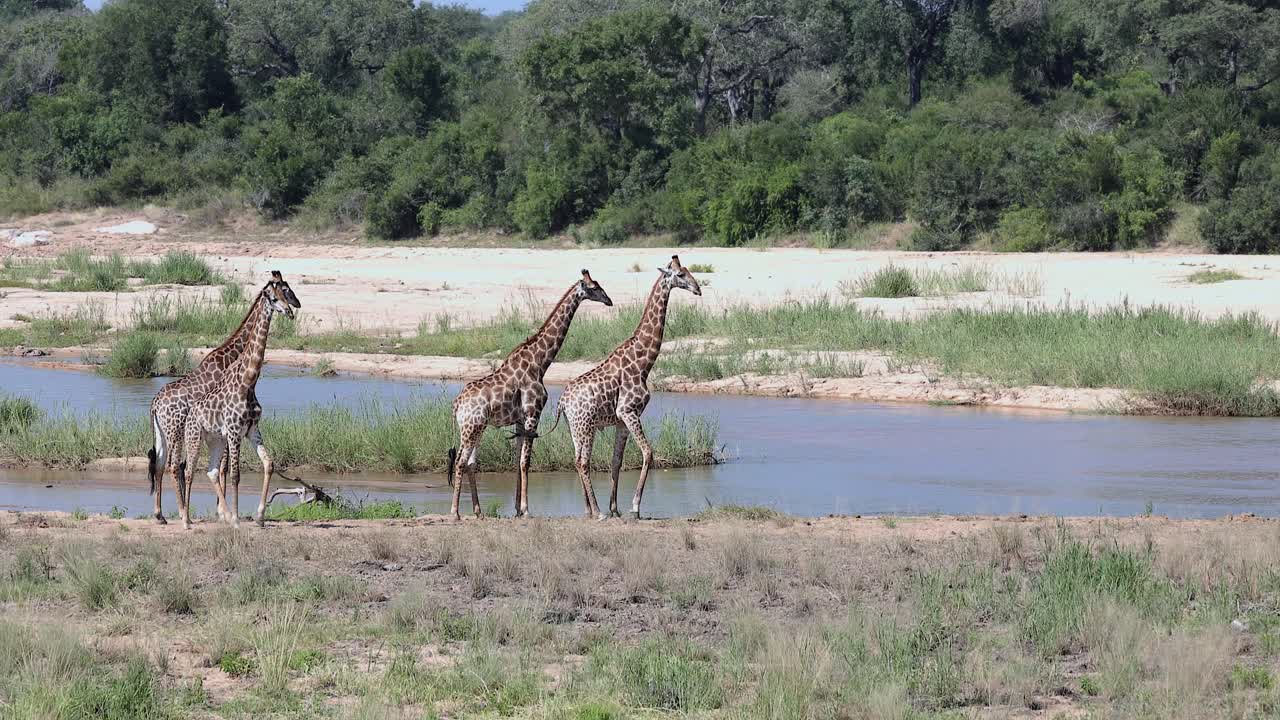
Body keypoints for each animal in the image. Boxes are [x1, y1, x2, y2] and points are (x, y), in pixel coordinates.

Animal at [179, 271, 300, 529]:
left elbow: (269, 464)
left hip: (214, 439)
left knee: (211, 471)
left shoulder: (251, 429)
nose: (291, 311)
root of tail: (191, 413)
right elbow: (235, 475)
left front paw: (259, 517)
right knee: (188, 470)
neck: (249, 382)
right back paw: (187, 520)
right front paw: (235, 519)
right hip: (194, 437)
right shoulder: (235, 431)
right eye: (274, 297)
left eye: (284, 292)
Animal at [448, 270, 613, 520]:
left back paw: (478, 511)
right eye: (594, 287)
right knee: (459, 462)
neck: (540, 362)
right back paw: (455, 512)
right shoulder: (533, 414)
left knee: (469, 463)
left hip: (474, 428)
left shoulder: (519, 420)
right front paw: (526, 510)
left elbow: (517, 463)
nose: (609, 300)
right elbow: (526, 463)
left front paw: (517, 509)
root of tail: (457, 404)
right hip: (471, 427)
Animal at [548, 256, 701, 520]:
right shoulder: (628, 411)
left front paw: (616, 508)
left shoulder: (621, 420)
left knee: (577, 459)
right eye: (681, 275)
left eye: (689, 271)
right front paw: (635, 507)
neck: (643, 363)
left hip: (574, 428)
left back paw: (589, 510)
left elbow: (616, 462)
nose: (698, 289)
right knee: (583, 462)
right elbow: (648, 452)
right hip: (586, 426)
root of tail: (562, 403)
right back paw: (597, 511)